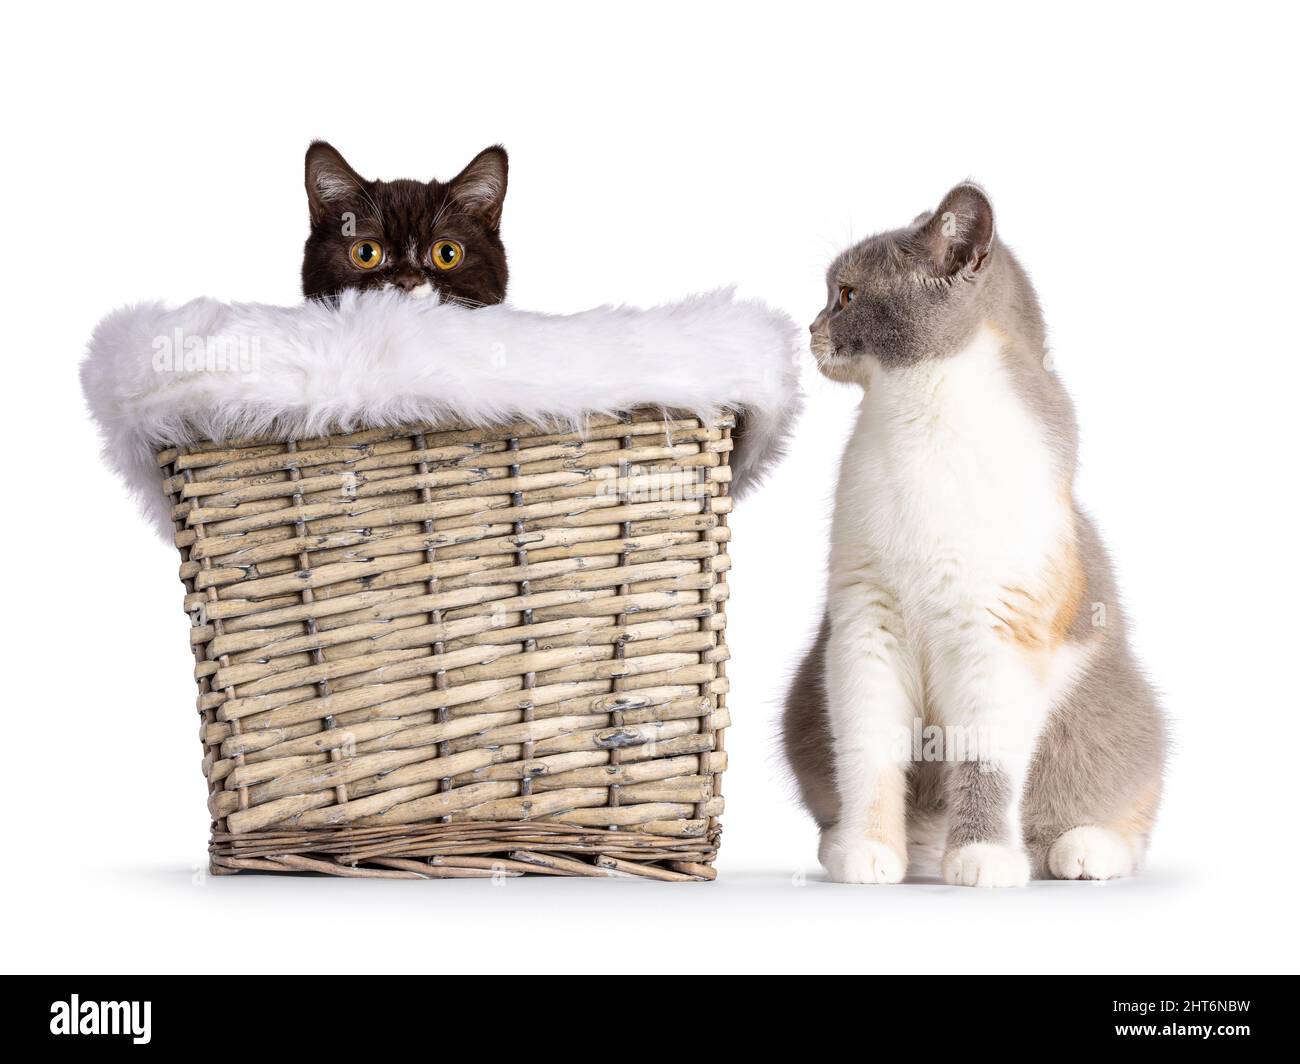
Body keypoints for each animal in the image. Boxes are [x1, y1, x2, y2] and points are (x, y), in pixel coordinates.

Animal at [780, 184, 1170, 889]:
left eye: (846, 294)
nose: (811, 328)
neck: (919, 416)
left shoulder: (1000, 629)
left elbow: (986, 757)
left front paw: (983, 855)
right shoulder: (865, 621)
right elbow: (868, 749)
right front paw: (867, 849)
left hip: (1111, 718)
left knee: (1114, 813)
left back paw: (1081, 850)